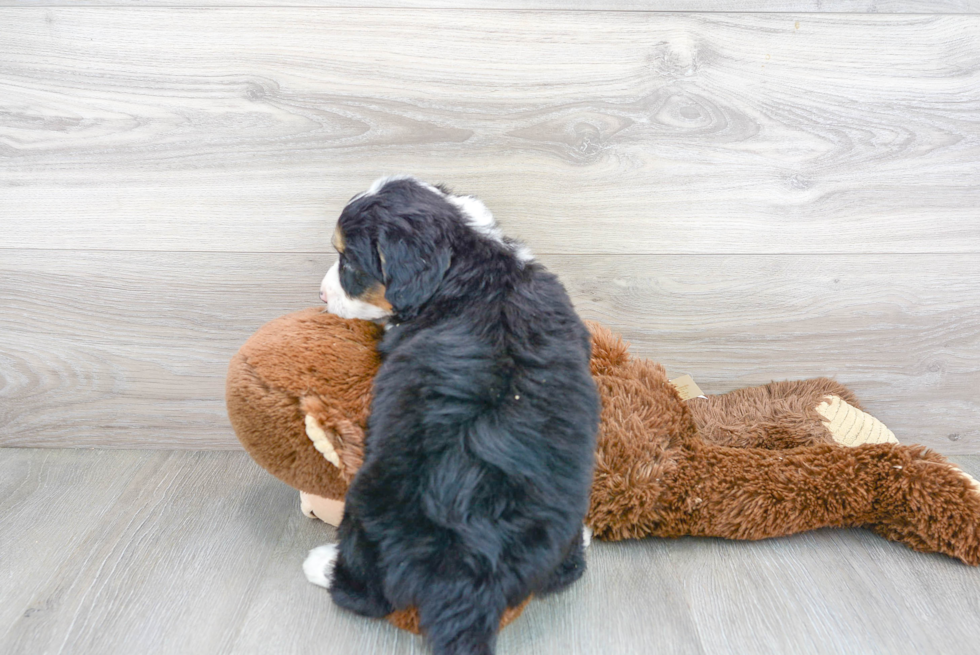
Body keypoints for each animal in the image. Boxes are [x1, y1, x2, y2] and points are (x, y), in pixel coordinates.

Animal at [302, 176, 600, 655]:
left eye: (347, 260)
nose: (320, 295)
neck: (470, 264)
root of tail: (471, 570)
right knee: (567, 573)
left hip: (365, 506)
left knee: (364, 594)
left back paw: (323, 564)